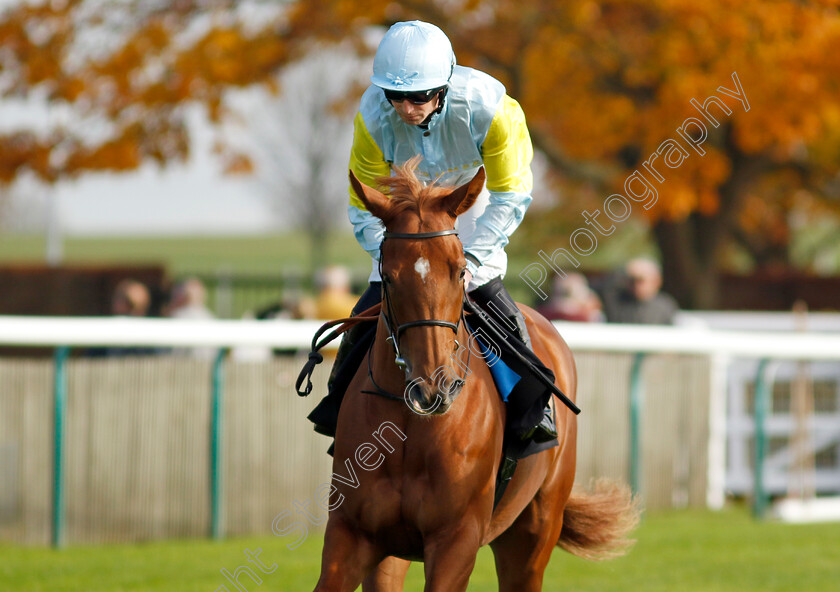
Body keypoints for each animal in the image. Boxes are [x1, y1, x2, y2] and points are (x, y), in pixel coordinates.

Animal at [314, 160, 636, 588]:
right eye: (390, 276)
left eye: (460, 270)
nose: (431, 388)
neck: (410, 431)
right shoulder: (352, 534)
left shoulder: (458, 538)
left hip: (534, 533)